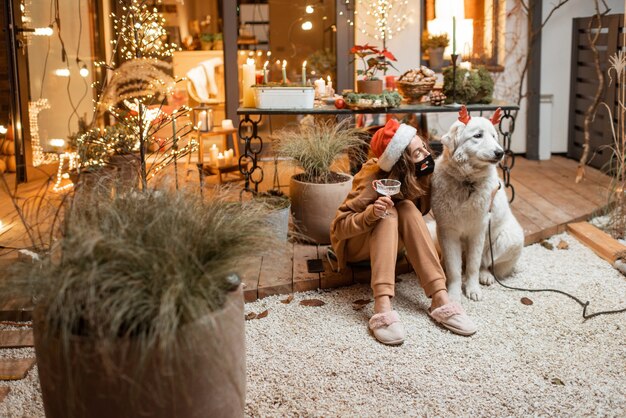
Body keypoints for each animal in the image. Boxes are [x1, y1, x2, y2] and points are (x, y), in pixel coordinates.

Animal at [428, 105, 520, 300]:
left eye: (494, 136)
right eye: (477, 136)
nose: (500, 152)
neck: (467, 182)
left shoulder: (478, 231)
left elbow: (472, 266)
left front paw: (472, 289)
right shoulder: (448, 232)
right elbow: (454, 269)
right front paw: (454, 294)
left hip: (508, 239)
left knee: (486, 263)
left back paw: (486, 276)